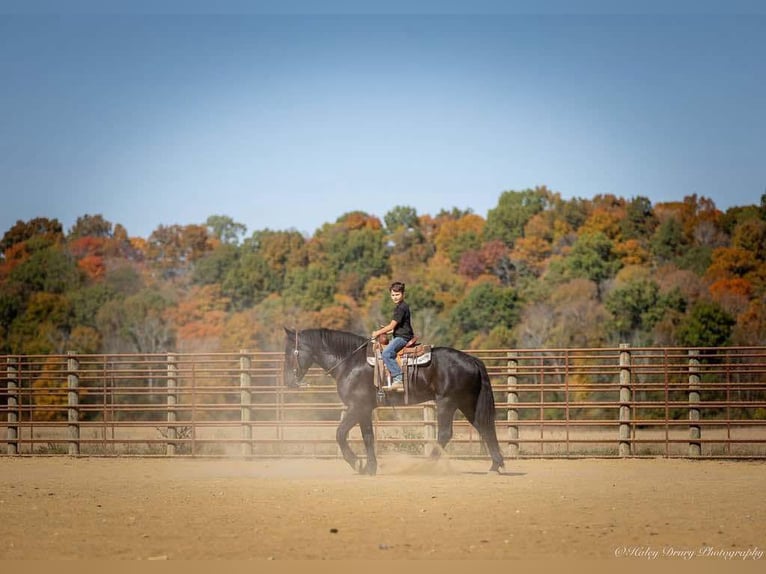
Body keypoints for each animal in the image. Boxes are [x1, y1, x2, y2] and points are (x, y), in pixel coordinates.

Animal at [282, 328, 504, 476]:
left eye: (290, 352)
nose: (288, 381)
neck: (350, 362)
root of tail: (472, 359)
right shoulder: (364, 410)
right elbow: (368, 437)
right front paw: (370, 468)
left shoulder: (357, 407)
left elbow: (340, 433)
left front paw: (357, 463)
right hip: (467, 403)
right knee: (484, 427)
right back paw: (495, 466)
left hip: (447, 402)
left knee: (445, 433)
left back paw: (423, 467)